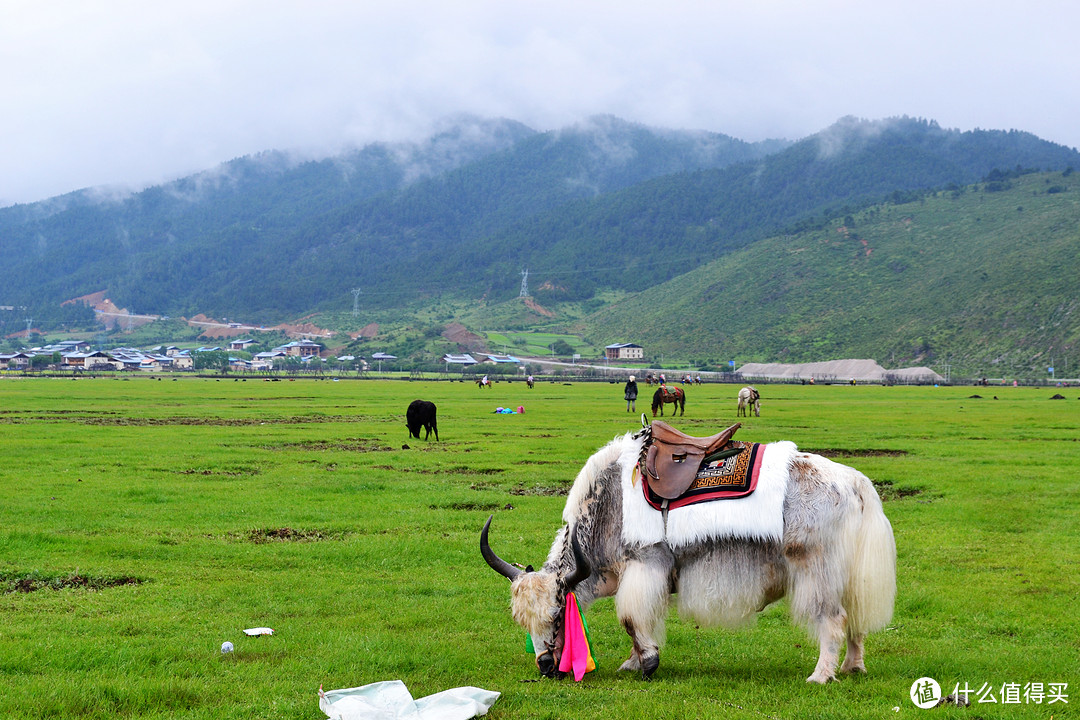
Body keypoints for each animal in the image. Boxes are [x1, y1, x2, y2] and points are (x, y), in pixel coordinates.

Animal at [486, 425, 898, 686]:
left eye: (557, 616)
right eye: (521, 620)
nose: (545, 666)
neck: (608, 505)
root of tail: (853, 481)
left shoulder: (645, 563)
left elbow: (630, 618)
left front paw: (648, 663)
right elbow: (640, 618)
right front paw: (632, 663)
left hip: (815, 569)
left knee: (833, 618)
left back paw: (821, 675)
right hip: (846, 572)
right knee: (855, 616)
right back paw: (853, 667)